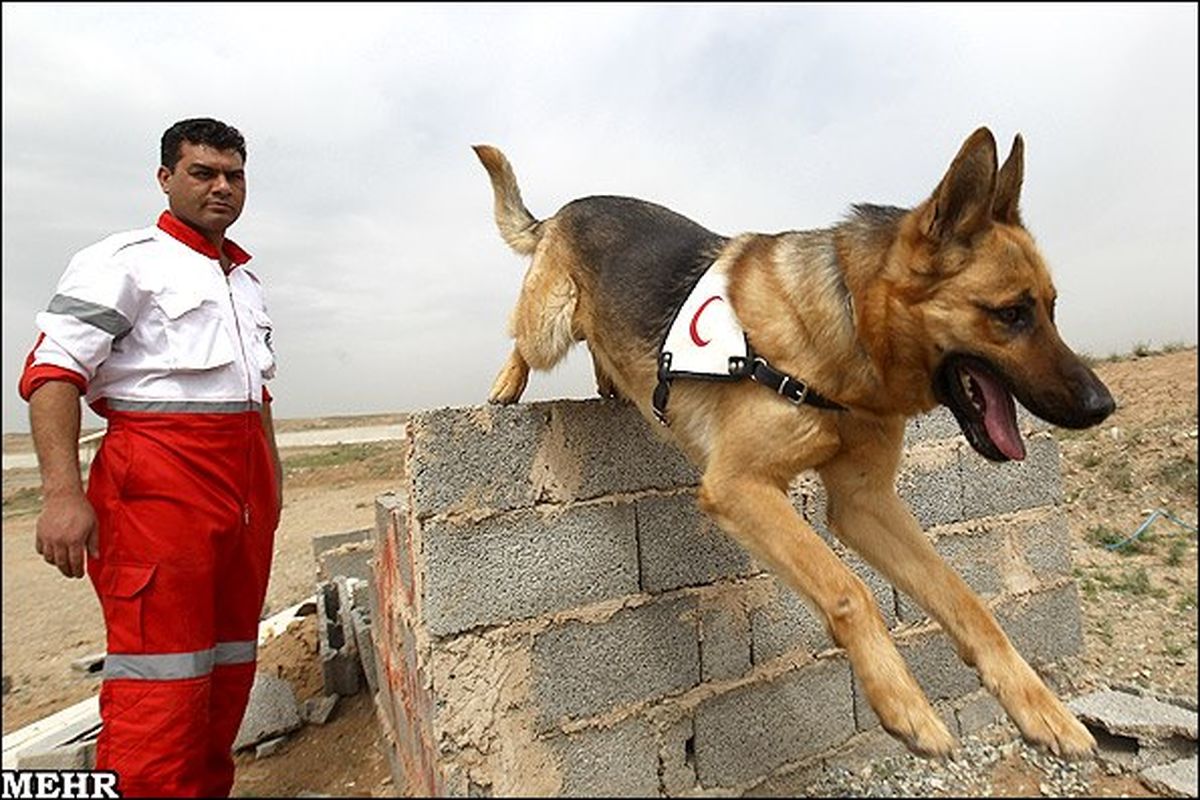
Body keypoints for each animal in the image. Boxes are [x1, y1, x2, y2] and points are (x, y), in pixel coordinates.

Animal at [470, 128, 1113, 762]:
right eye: (1010, 314)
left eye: (1051, 309)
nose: (1102, 405)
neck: (845, 331)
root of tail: (566, 209)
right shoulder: (740, 486)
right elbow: (850, 590)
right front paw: (906, 706)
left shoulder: (864, 503)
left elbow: (966, 602)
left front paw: (1043, 711)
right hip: (549, 324)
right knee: (525, 338)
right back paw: (506, 385)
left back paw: (610, 383)